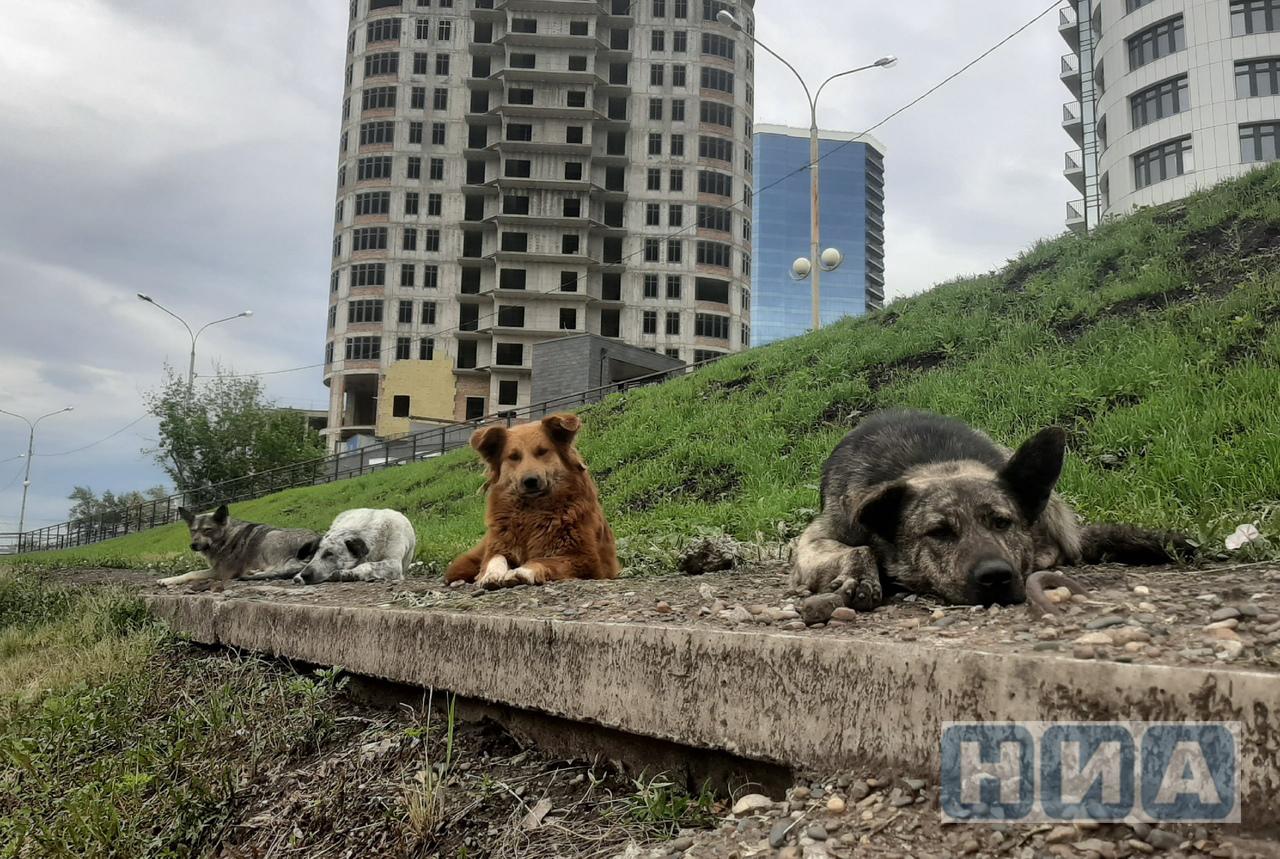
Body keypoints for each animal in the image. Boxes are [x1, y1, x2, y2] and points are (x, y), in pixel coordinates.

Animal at [158, 506, 320, 588]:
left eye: (207, 530)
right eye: (193, 531)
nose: (193, 545)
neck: (225, 538)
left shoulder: (221, 572)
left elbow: (192, 573)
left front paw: (168, 580)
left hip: (271, 535)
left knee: (280, 568)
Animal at [445, 412, 619, 588]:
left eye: (542, 451)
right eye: (513, 457)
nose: (530, 481)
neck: (530, 512)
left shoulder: (585, 559)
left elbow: (543, 560)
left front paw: (521, 571)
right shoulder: (498, 546)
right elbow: (495, 558)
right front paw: (490, 574)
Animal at [793, 409, 1192, 611]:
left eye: (1002, 522)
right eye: (939, 532)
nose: (996, 576)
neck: (933, 464)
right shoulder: (817, 537)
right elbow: (858, 548)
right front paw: (860, 575)